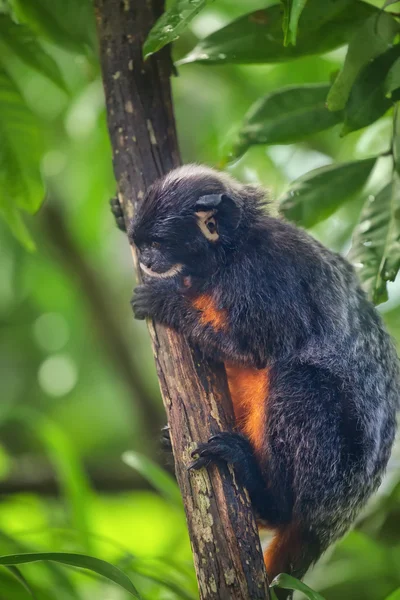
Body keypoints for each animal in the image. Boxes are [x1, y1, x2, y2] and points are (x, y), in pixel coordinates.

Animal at [124, 163, 396, 596]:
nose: (147, 259)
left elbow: (254, 349)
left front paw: (166, 301)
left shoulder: (263, 276)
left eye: (158, 243)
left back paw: (266, 495)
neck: (228, 255)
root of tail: (335, 521)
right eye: (142, 243)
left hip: (334, 481)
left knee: (301, 382)